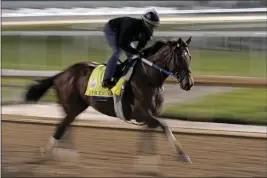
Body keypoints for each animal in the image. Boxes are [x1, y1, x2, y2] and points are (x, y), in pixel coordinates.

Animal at [25, 37, 195, 163]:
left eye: (190, 57)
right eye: (180, 57)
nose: (189, 83)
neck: (148, 78)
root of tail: (59, 75)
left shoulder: (151, 115)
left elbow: (149, 134)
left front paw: (146, 161)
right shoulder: (141, 113)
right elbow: (165, 126)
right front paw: (182, 155)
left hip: (75, 107)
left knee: (65, 126)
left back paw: (65, 154)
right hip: (72, 106)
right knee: (61, 127)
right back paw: (53, 152)